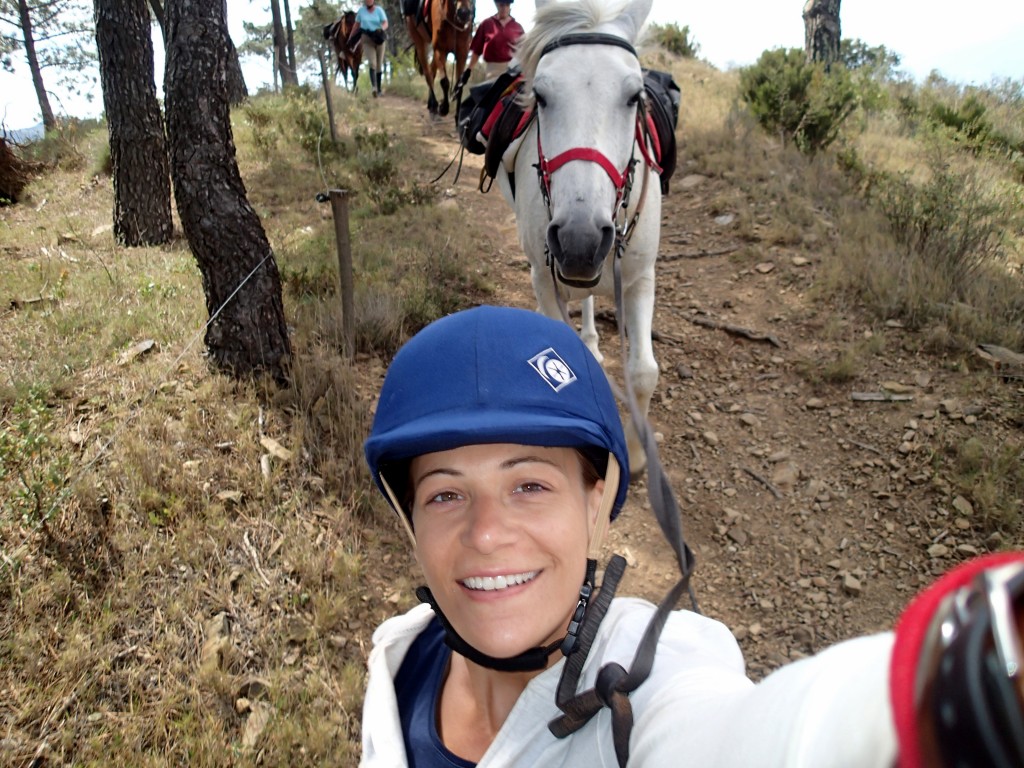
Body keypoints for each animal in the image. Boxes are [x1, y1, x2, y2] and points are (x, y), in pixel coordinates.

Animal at [495, 0, 663, 479]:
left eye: (634, 96)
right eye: (541, 96)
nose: (579, 240)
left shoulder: (641, 277)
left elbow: (643, 371)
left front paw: (638, 455)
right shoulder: (545, 274)